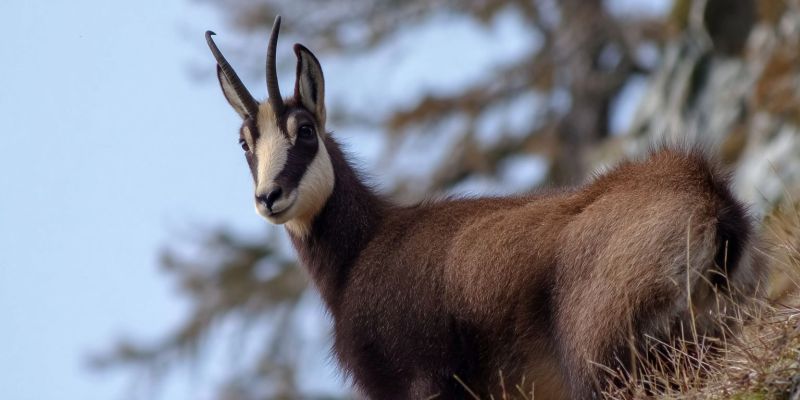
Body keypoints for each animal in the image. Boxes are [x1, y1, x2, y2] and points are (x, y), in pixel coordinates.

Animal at [205, 16, 765, 400]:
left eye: (304, 130)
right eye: (243, 142)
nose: (269, 198)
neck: (361, 251)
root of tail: (709, 199)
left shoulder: (425, 380)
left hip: (602, 358)